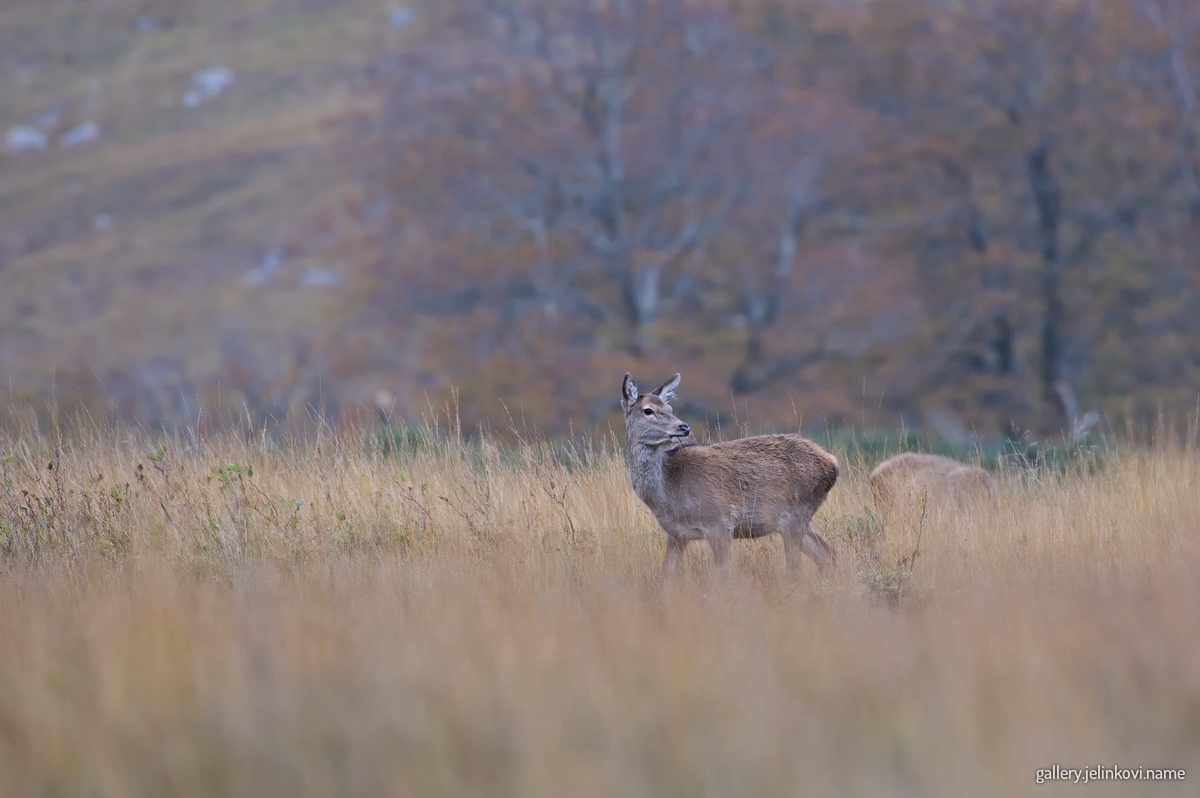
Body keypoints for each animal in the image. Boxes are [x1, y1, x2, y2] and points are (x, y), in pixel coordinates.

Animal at [621, 372, 838, 577]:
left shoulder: (719, 521)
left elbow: (724, 574)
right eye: (648, 410)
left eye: (670, 409)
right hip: (793, 520)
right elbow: (666, 574)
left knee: (797, 566)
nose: (684, 427)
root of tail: (833, 465)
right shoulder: (676, 534)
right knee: (826, 553)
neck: (668, 494)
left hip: (796, 513)